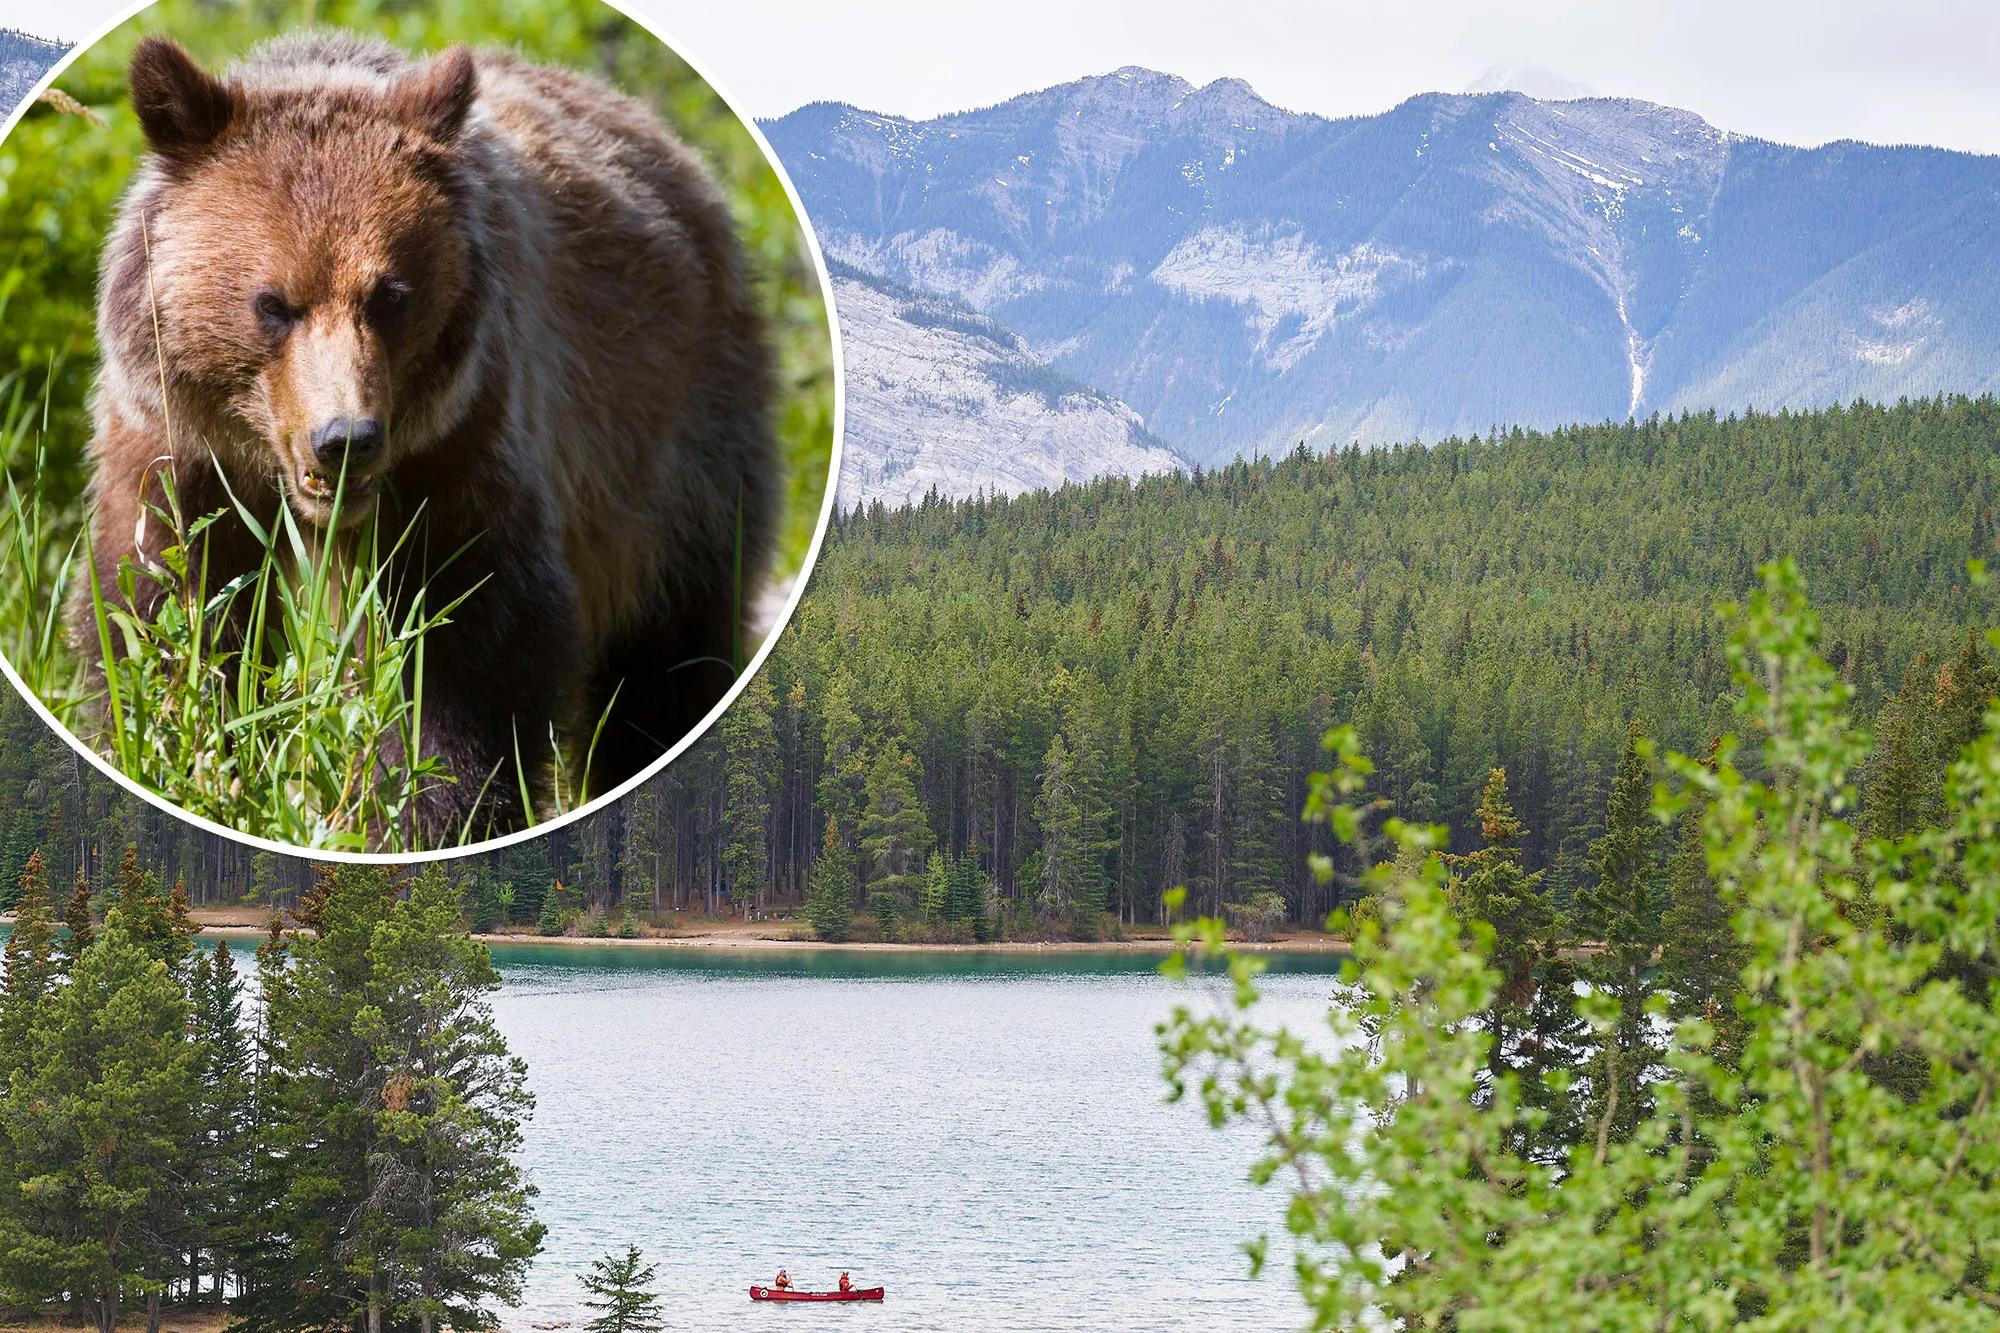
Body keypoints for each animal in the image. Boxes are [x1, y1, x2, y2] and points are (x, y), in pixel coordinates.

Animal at [84, 31, 772, 836]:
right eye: (273, 303)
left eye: (389, 296)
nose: (345, 437)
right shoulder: (178, 446)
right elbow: (164, 605)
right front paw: (184, 750)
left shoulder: (462, 442)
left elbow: (465, 638)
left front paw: (430, 809)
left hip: (669, 443)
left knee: (668, 649)